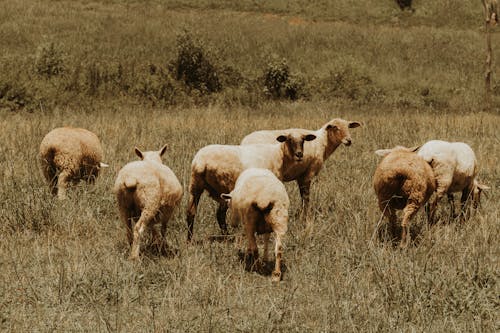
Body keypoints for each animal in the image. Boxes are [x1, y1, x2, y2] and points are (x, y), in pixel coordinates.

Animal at [186, 131, 318, 240]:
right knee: (220, 214)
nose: (299, 154)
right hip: (224, 186)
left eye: (303, 140)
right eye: (289, 139)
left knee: (191, 213)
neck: (279, 155)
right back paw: (227, 236)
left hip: (195, 185)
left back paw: (191, 240)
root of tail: (201, 163)